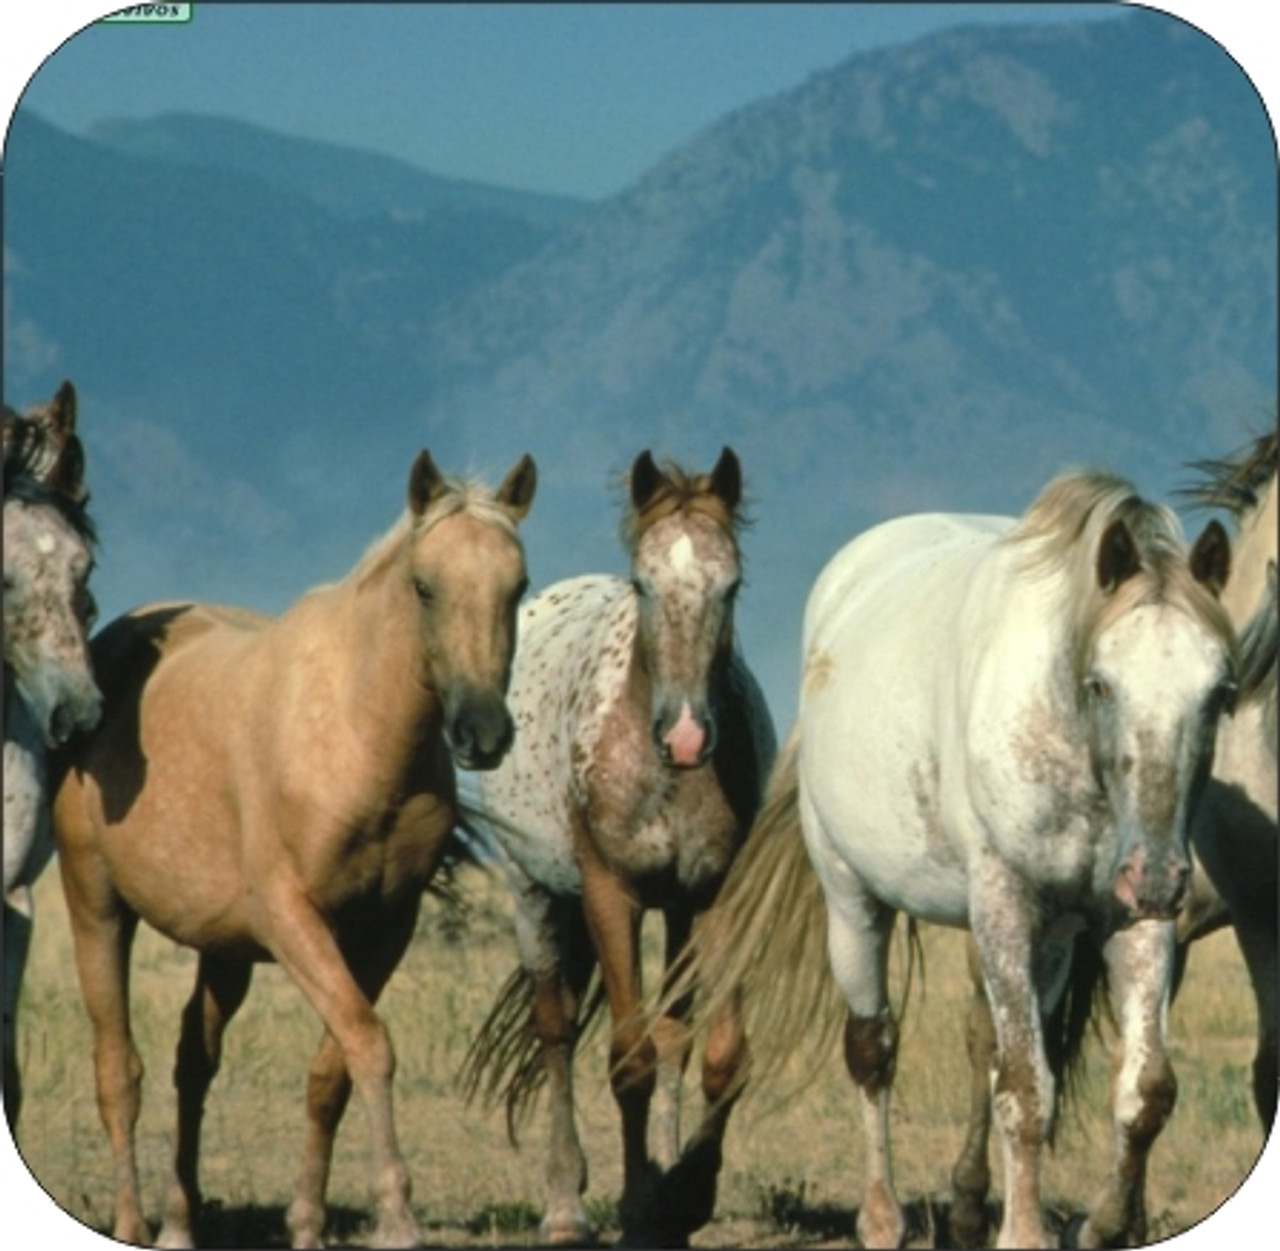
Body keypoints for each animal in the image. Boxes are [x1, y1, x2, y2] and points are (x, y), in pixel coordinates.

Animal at [51, 445, 535, 1239]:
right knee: (118, 1070)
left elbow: (331, 1071)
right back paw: (132, 1223)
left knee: (193, 1060)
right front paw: (397, 1215)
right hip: (97, 905)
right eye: (424, 586)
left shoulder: (384, 928)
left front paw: (307, 1220)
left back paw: (180, 1219)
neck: (356, 731)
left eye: (516, 586)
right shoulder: (293, 920)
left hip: (221, 948)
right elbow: (369, 1043)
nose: (482, 733)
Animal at [463, 445, 773, 1239]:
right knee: (558, 1029)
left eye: (733, 584)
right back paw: (565, 1205)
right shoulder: (612, 896)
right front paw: (638, 1205)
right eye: (644, 582)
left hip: (679, 912)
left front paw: (686, 1191)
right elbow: (627, 1060)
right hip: (534, 895)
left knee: (676, 1036)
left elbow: (719, 1056)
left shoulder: (716, 895)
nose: (687, 735)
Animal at [660, 471, 1228, 1249]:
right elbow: (1024, 1087)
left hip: (1048, 940)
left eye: (1220, 693)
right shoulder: (1003, 904)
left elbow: (1144, 1092)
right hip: (853, 902)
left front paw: (1104, 1225)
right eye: (1102, 683)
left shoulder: (1130, 920)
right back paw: (881, 1216)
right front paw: (1024, 1234)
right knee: (871, 1048)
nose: (1161, 877)